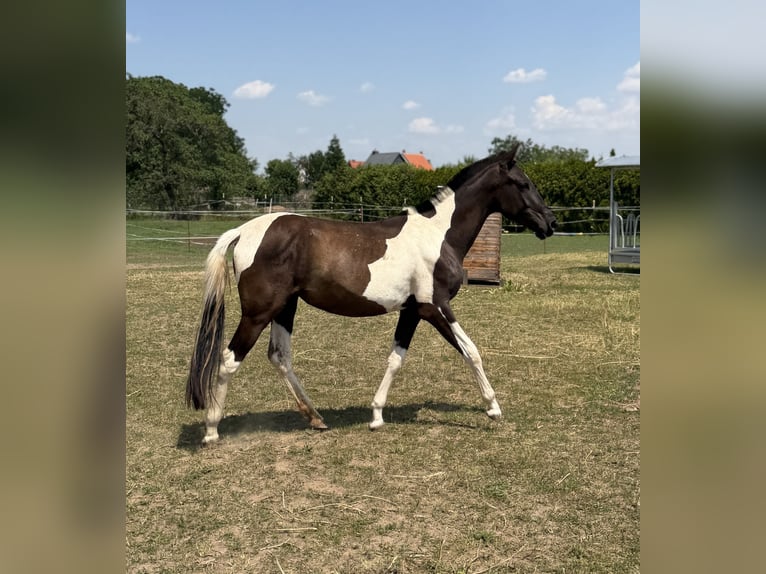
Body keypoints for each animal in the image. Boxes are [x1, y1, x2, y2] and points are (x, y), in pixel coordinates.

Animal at [186, 145, 556, 444]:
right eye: (523, 184)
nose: (550, 223)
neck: (438, 236)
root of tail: (243, 230)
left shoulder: (412, 311)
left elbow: (396, 359)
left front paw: (376, 415)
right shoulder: (435, 308)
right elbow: (471, 351)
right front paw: (493, 407)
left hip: (285, 308)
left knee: (279, 356)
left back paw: (315, 418)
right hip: (259, 313)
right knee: (229, 359)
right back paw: (212, 429)